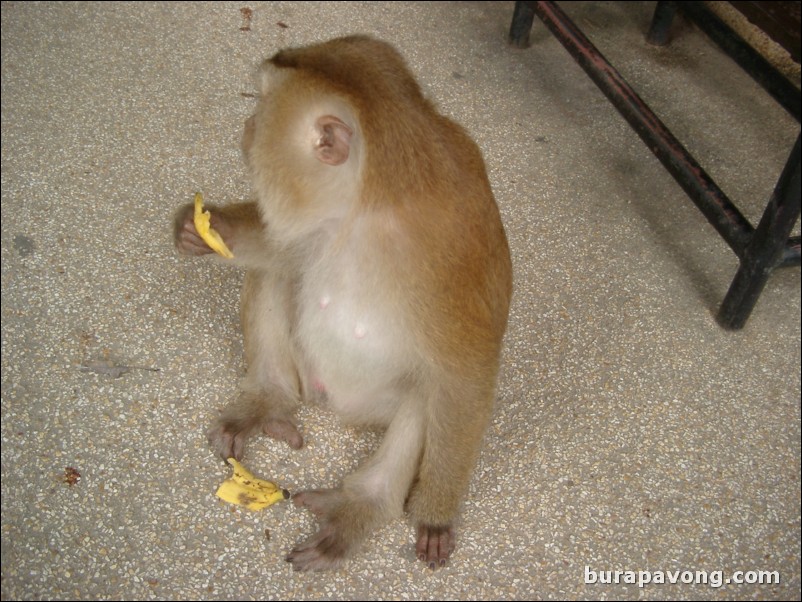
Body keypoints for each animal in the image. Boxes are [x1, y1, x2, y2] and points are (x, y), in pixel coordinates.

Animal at [175, 35, 512, 568]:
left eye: (262, 109)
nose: (246, 128)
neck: (369, 204)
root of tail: (332, 402)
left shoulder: (447, 262)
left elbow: (467, 374)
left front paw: (436, 514)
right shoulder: (321, 220)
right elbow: (281, 247)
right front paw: (205, 229)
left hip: (378, 404)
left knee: (429, 393)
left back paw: (363, 505)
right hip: (306, 370)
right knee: (277, 273)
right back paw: (267, 400)